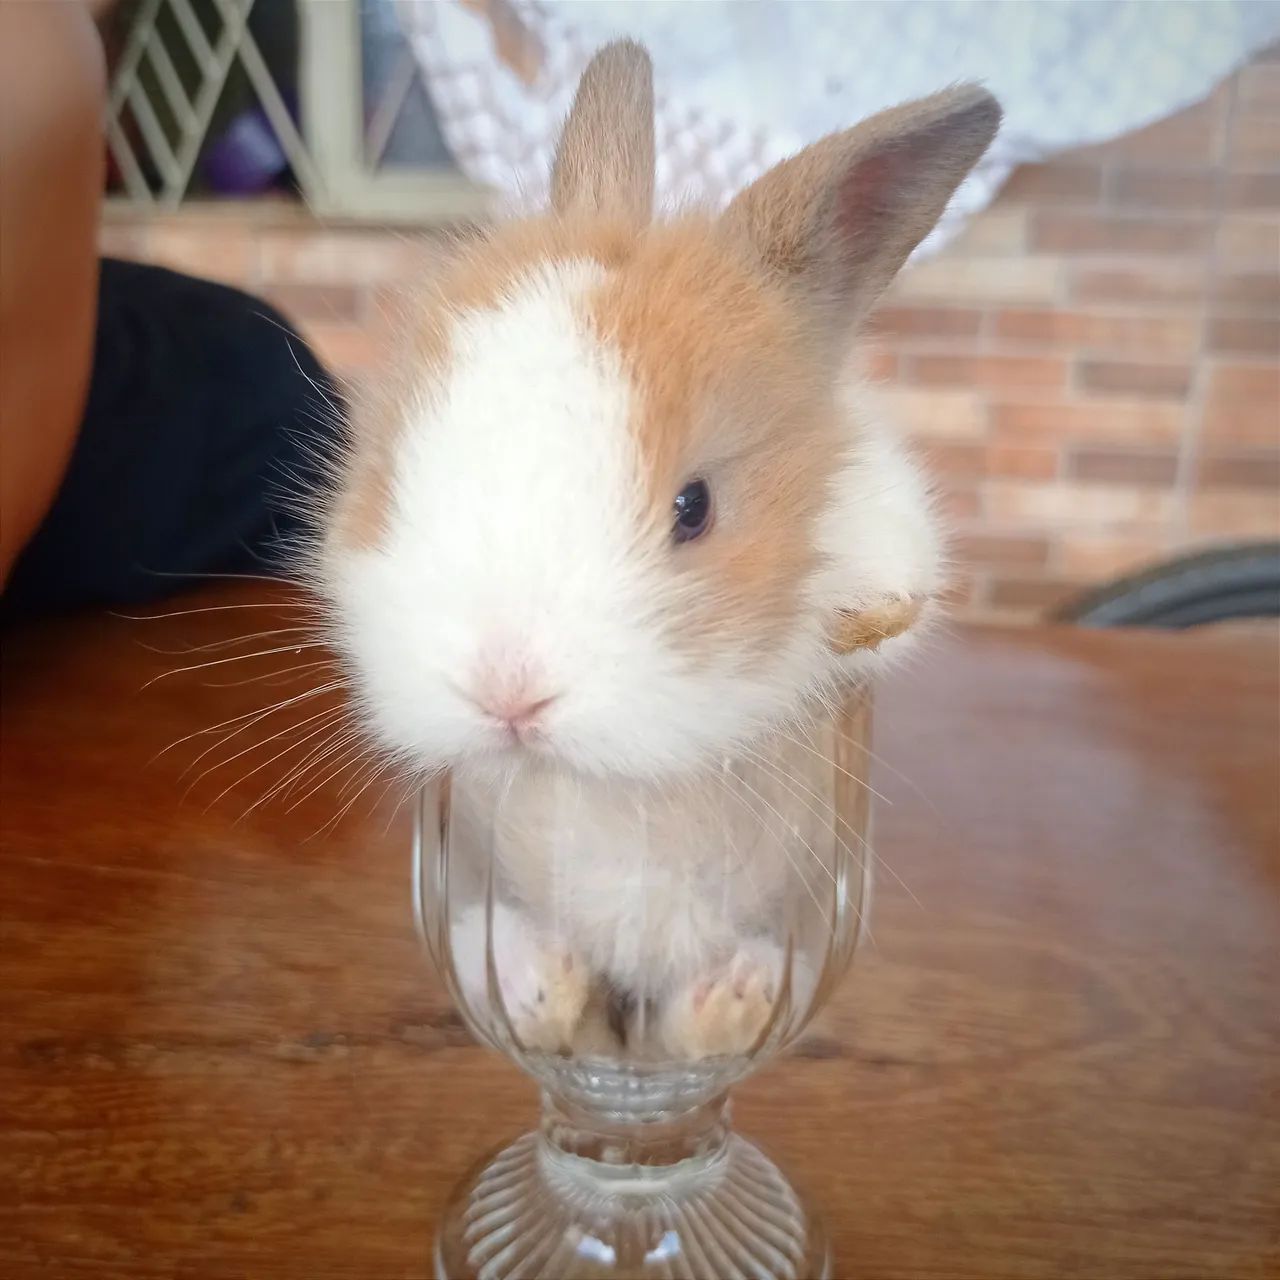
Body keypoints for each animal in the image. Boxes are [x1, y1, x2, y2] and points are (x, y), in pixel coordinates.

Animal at [312, 42, 1000, 1058]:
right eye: (400, 466)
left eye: (695, 508)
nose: (506, 692)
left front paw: (854, 615)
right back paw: (537, 978)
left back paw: (730, 993)